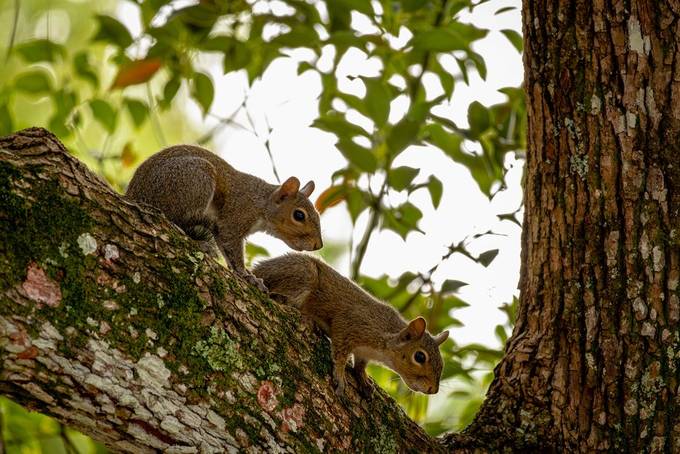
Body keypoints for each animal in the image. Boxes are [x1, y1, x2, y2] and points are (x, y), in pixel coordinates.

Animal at [126, 145, 323, 290]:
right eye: (299, 215)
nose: (318, 245)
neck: (261, 204)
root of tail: (135, 195)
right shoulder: (235, 218)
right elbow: (233, 249)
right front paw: (246, 275)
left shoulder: (223, 229)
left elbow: (226, 250)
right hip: (196, 179)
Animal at [253, 253, 449, 397]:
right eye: (420, 357)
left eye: (441, 362)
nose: (433, 390)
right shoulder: (351, 324)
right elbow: (339, 353)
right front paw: (340, 375)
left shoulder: (364, 351)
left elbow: (360, 363)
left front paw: (362, 376)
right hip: (303, 275)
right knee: (281, 297)